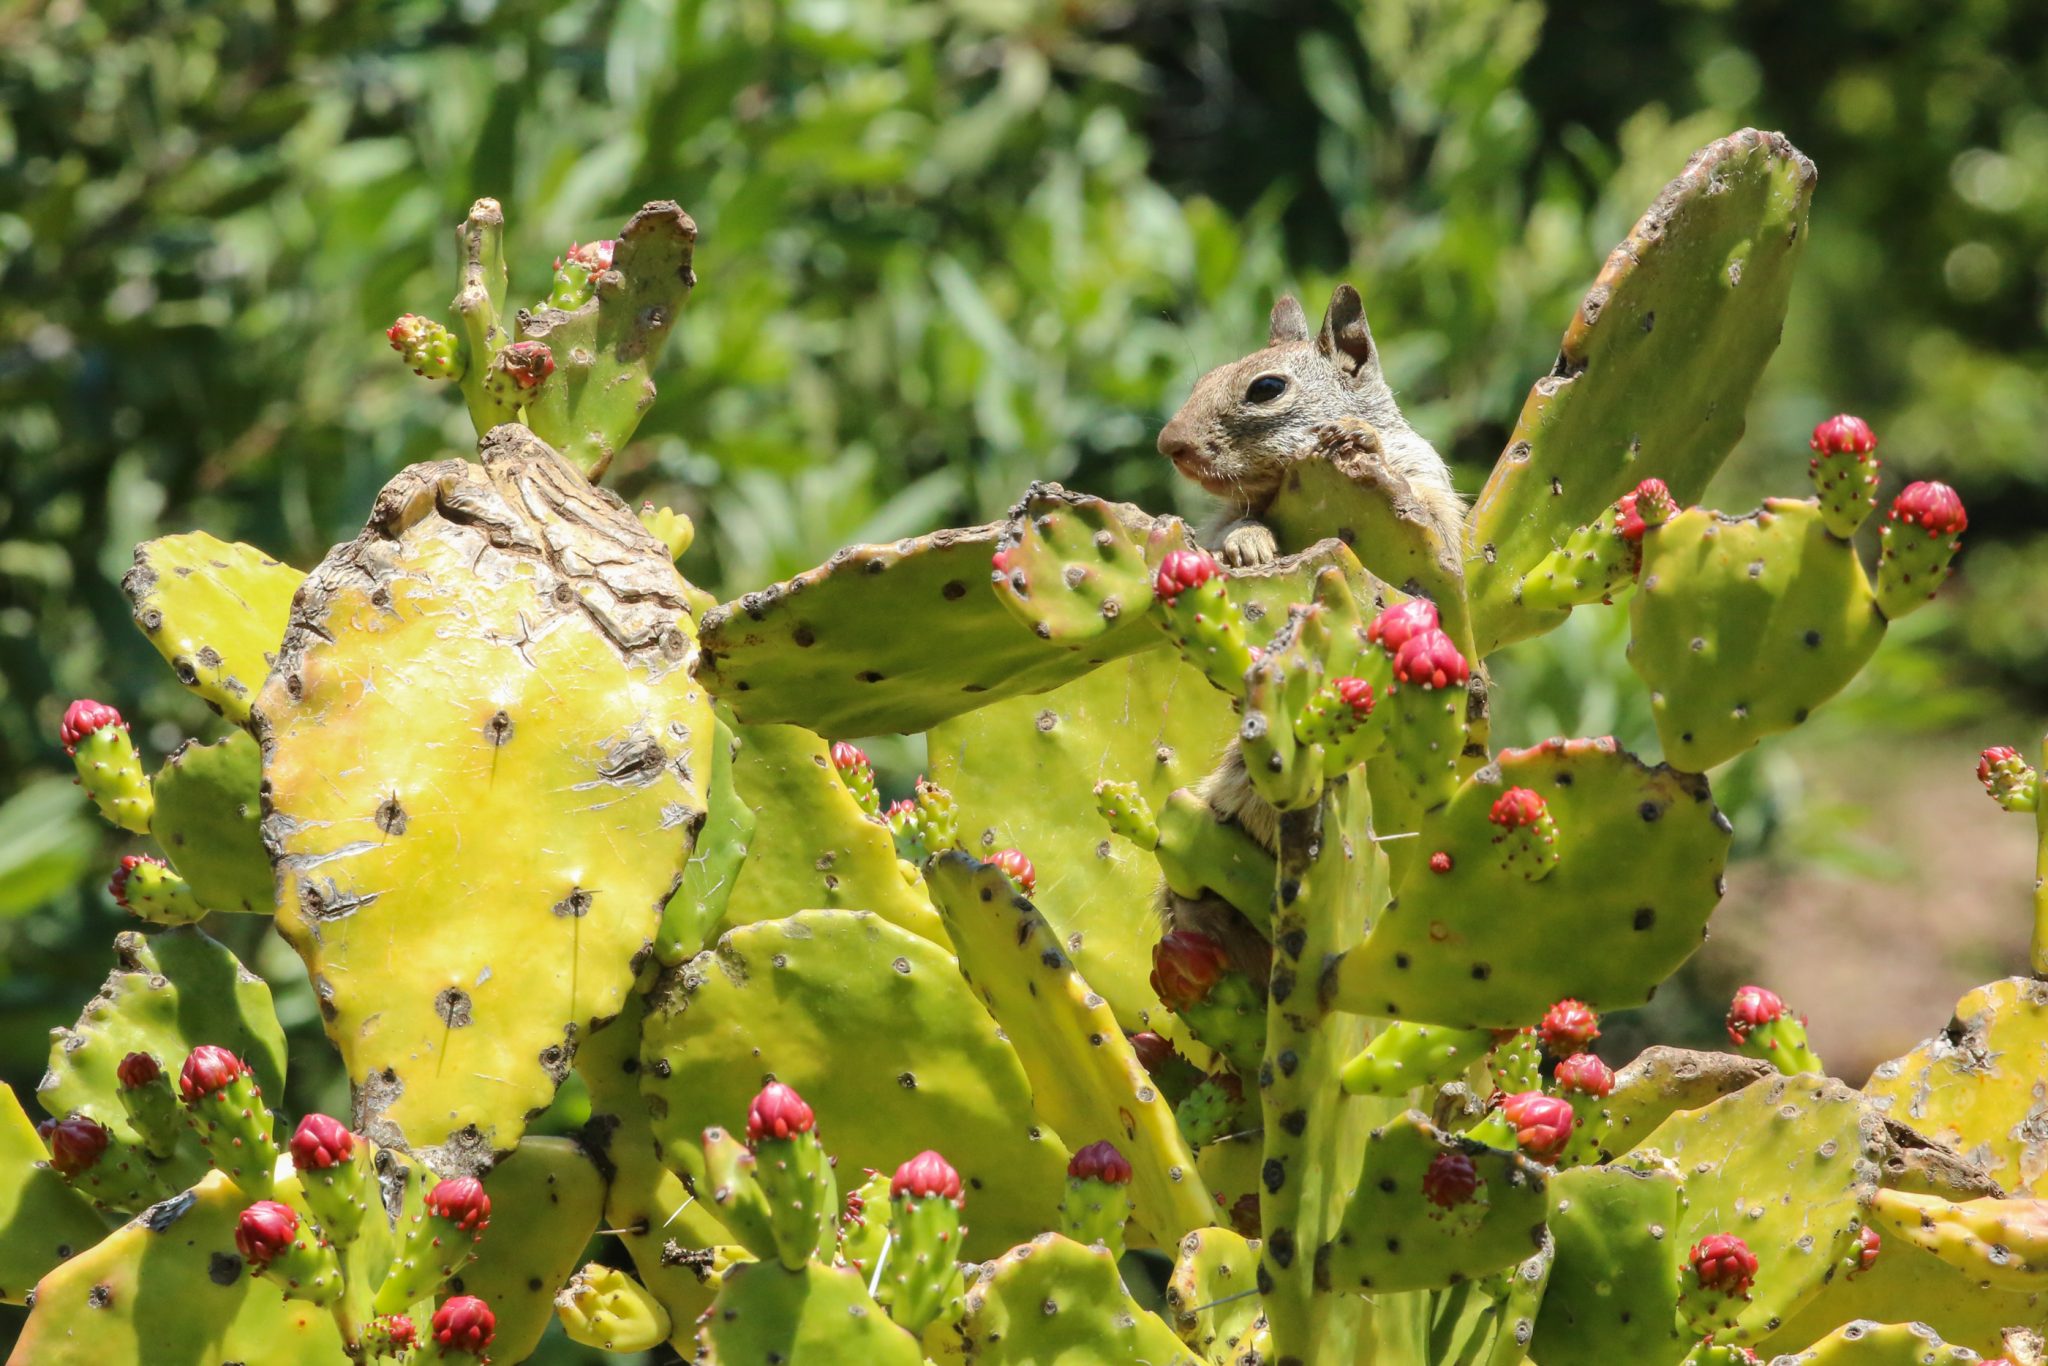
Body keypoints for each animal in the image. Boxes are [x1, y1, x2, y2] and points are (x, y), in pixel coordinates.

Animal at [1153, 284, 1466, 993]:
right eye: (1204, 377)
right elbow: (1229, 529)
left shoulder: (1429, 489)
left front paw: (1359, 439)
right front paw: (1248, 543)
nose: (1168, 443)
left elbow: (1429, 519)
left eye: (1266, 388)